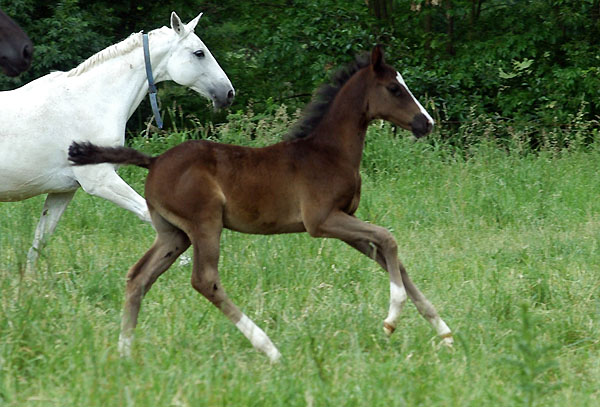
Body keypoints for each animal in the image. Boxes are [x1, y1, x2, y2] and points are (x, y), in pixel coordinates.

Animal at [0, 11, 234, 270]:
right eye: (199, 53)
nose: (228, 93)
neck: (88, 102)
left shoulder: (62, 191)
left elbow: (40, 239)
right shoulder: (101, 181)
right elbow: (147, 213)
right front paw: (181, 260)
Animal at [69, 46, 450, 362]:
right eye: (395, 89)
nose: (426, 123)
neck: (328, 153)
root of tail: (155, 160)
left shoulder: (344, 222)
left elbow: (390, 259)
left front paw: (442, 331)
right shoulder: (322, 221)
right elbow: (388, 239)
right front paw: (392, 318)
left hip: (173, 234)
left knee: (138, 277)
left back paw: (125, 352)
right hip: (205, 224)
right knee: (205, 280)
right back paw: (269, 348)